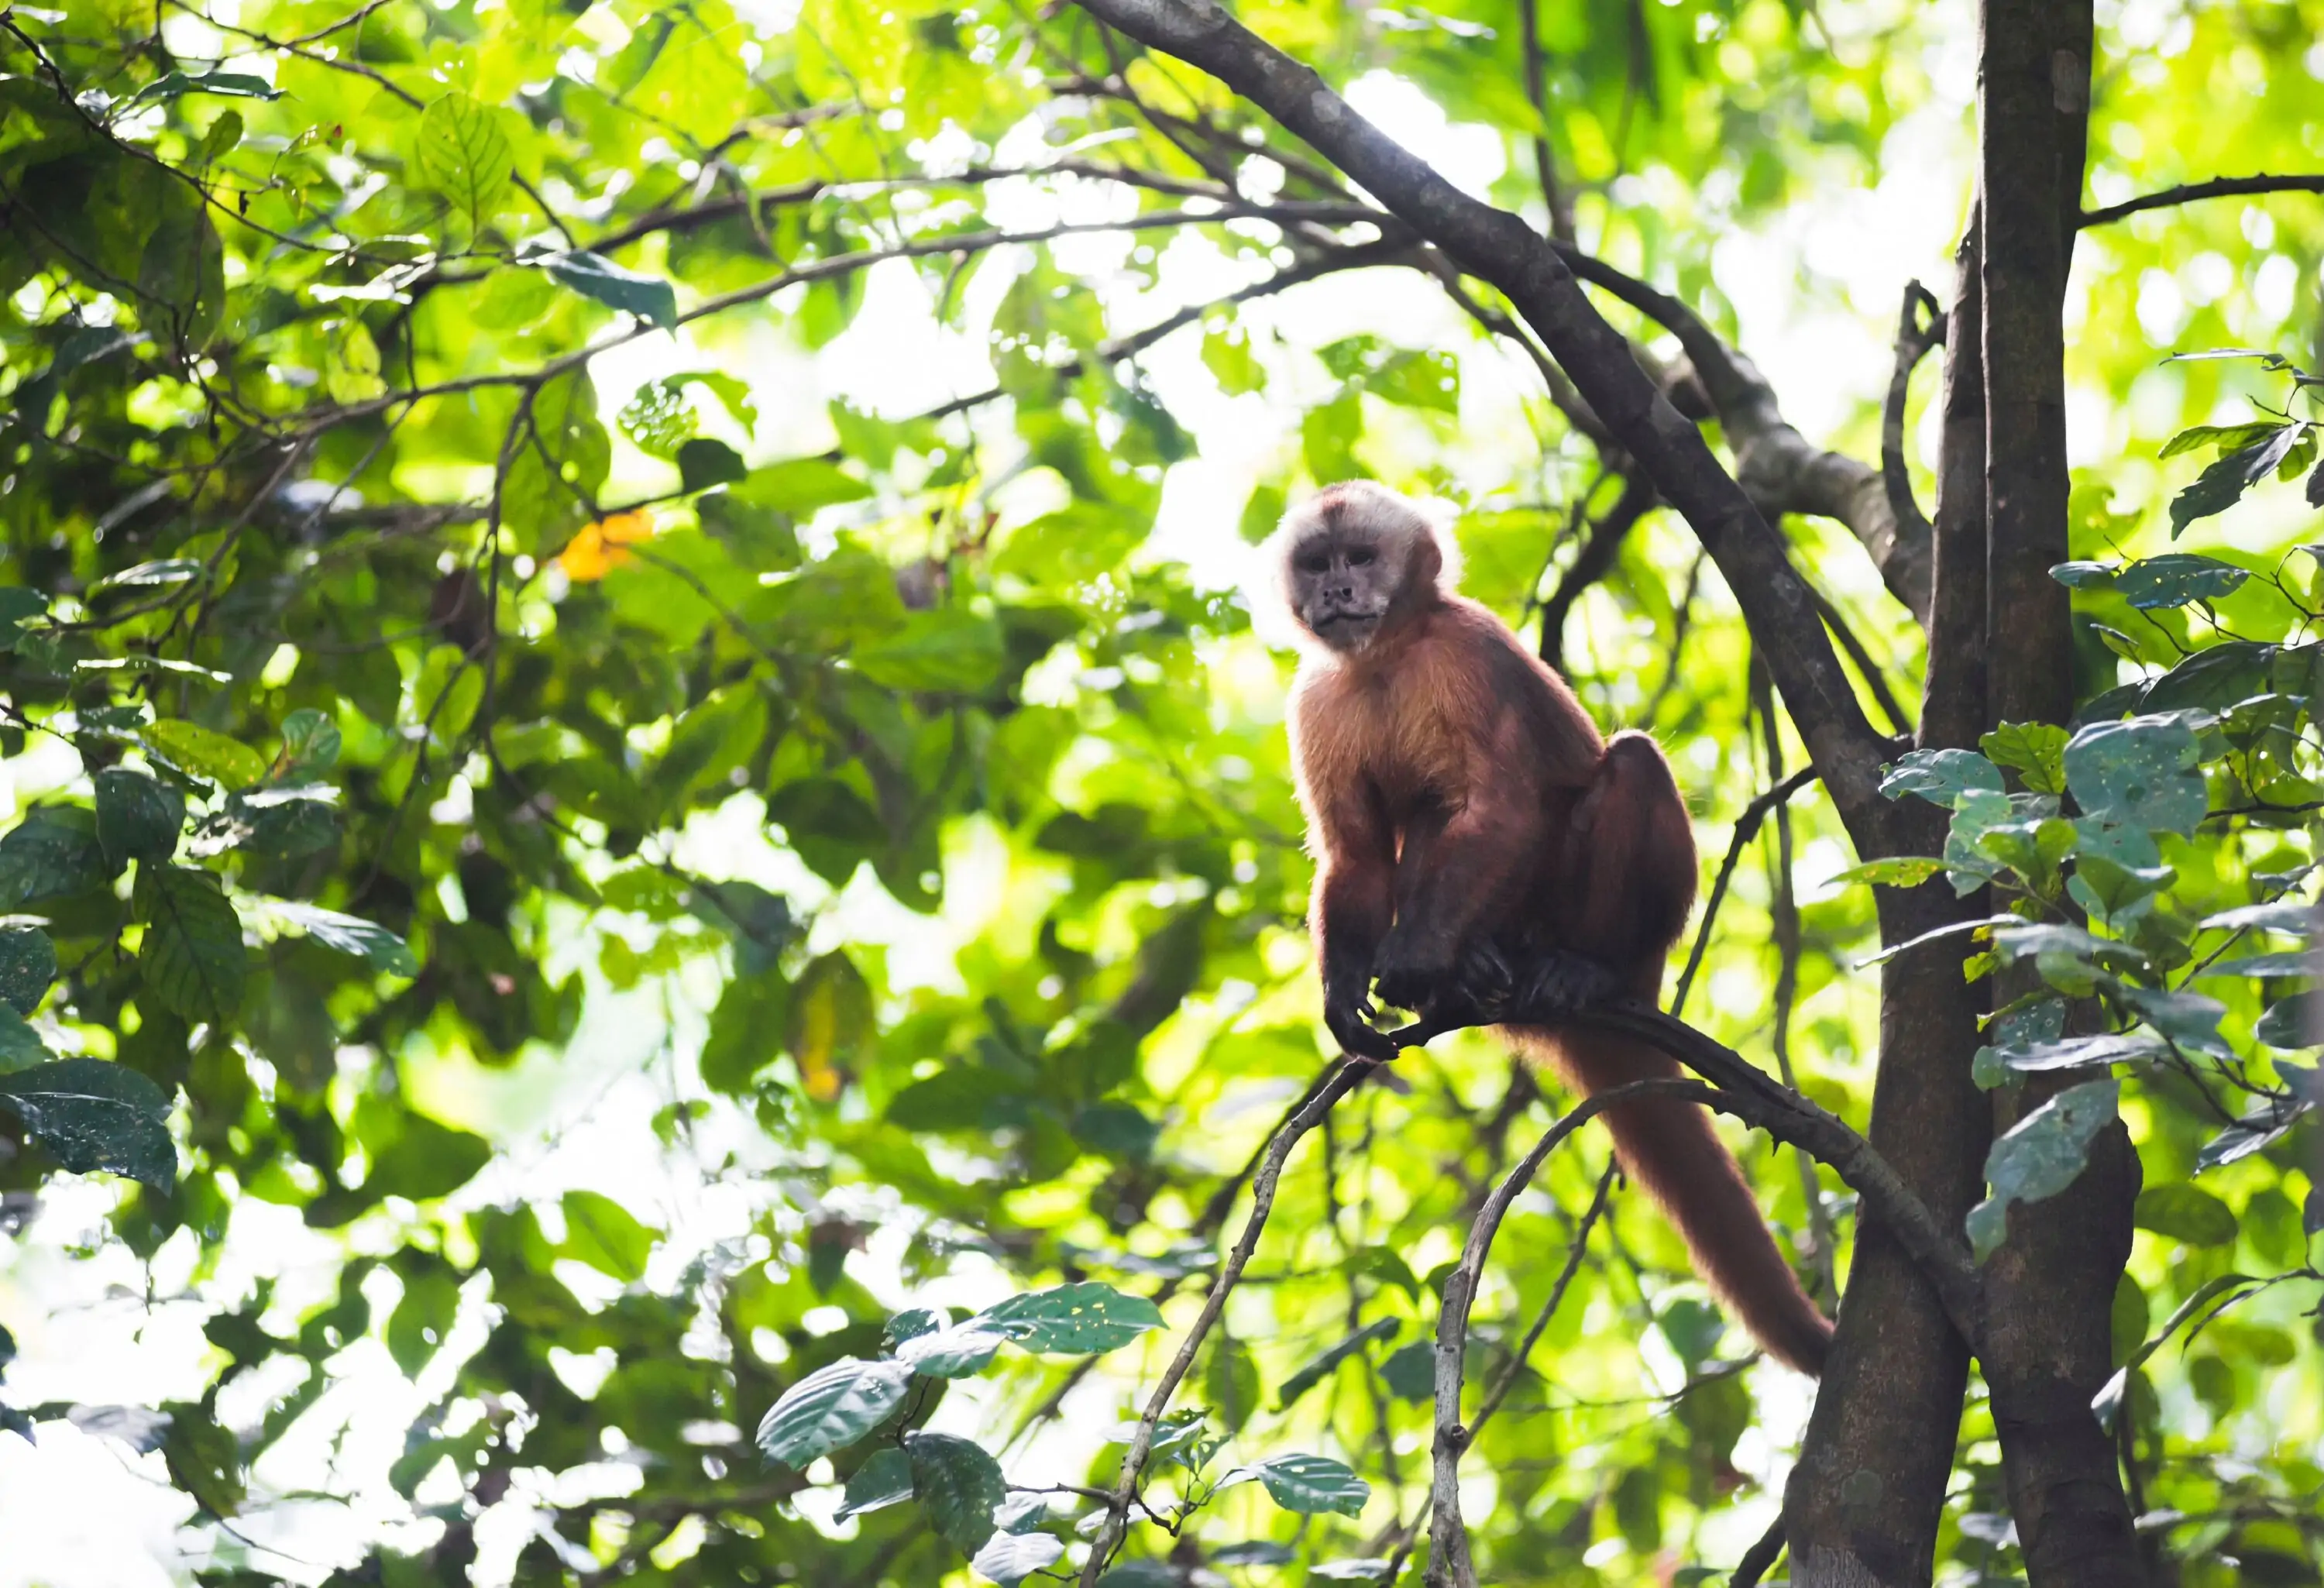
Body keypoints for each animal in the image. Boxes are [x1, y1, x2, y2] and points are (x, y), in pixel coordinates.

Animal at [1274, 479, 1831, 1376]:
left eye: (1360, 557)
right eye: (1318, 564)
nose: (1338, 592)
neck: (1387, 657)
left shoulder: (1468, 652)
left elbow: (1505, 803)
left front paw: (1416, 959)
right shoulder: (1318, 698)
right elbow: (1356, 856)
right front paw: (1346, 992)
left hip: (1623, 937)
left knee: (1630, 765)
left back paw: (1578, 970)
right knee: (1429, 817)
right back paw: (1474, 972)